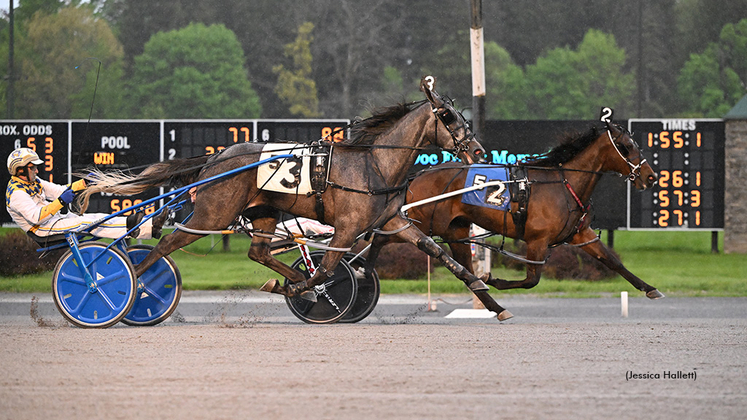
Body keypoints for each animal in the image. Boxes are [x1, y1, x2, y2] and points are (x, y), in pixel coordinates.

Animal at [79, 76, 516, 318]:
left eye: (461, 116)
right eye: (447, 117)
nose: (479, 151)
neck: (373, 164)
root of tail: (216, 158)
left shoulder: (393, 222)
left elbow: (442, 255)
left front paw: (494, 304)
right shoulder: (347, 228)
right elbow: (326, 270)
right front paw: (309, 290)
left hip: (263, 213)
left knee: (258, 251)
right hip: (212, 214)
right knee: (165, 244)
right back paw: (126, 284)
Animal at [366, 120, 664, 298]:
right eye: (626, 146)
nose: (650, 177)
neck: (564, 183)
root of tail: (416, 178)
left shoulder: (580, 234)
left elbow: (613, 261)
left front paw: (650, 289)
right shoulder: (537, 239)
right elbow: (532, 279)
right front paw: (494, 279)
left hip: (454, 230)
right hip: (421, 224)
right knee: (379, 238)